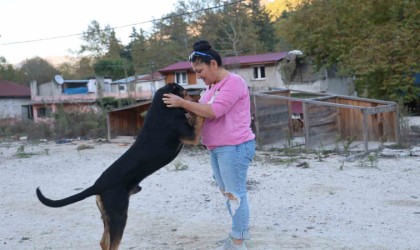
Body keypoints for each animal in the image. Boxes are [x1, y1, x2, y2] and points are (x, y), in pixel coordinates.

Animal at [36, 83, 203, 250]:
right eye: (186, 92)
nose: (196, 97)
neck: (162, 105)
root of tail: (97, 185)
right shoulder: (192, 136)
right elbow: (199, 117)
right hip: (119, 215)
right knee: (111, 244)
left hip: (108, 217)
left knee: (103, 242)